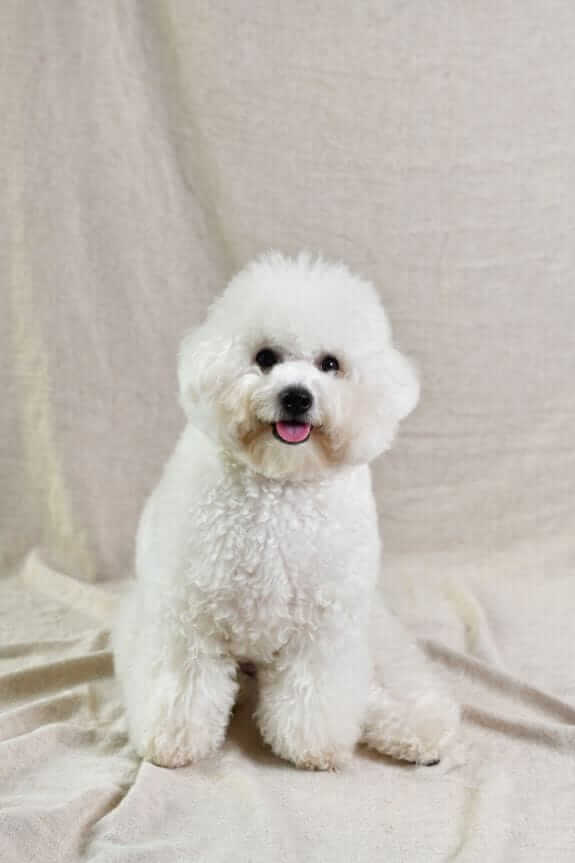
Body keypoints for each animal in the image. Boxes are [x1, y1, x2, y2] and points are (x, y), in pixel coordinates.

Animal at [115, 253, 462, 772]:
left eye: (330, 364)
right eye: (265, 358)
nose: (297, 395)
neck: (278, 488)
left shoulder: (325, 627)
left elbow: (314, 692)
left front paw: (312, 745)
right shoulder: (188, 616)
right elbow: (183, 686)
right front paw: (173, 740)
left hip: (376, 634)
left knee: (397, 681)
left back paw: (417, 729)